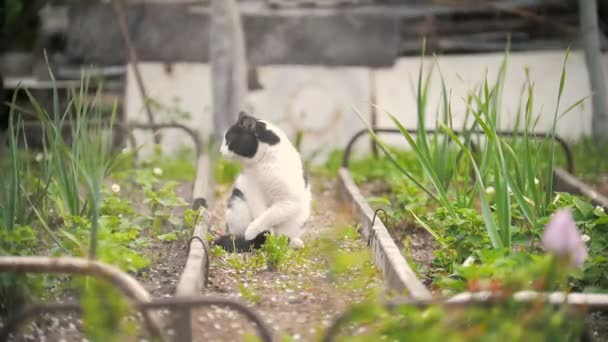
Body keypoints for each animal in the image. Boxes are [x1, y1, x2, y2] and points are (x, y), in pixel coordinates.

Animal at [215, 111, 312, 251]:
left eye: (229, 140)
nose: (220, 150)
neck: (264, 164)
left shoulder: (289, 201)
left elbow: (269, 215)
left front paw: (255, 232)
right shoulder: (251, 189)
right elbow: (260, 212)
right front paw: (263, 234)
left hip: (299, 218)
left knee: (285, 236)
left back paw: (292, 242)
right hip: (238, 203)